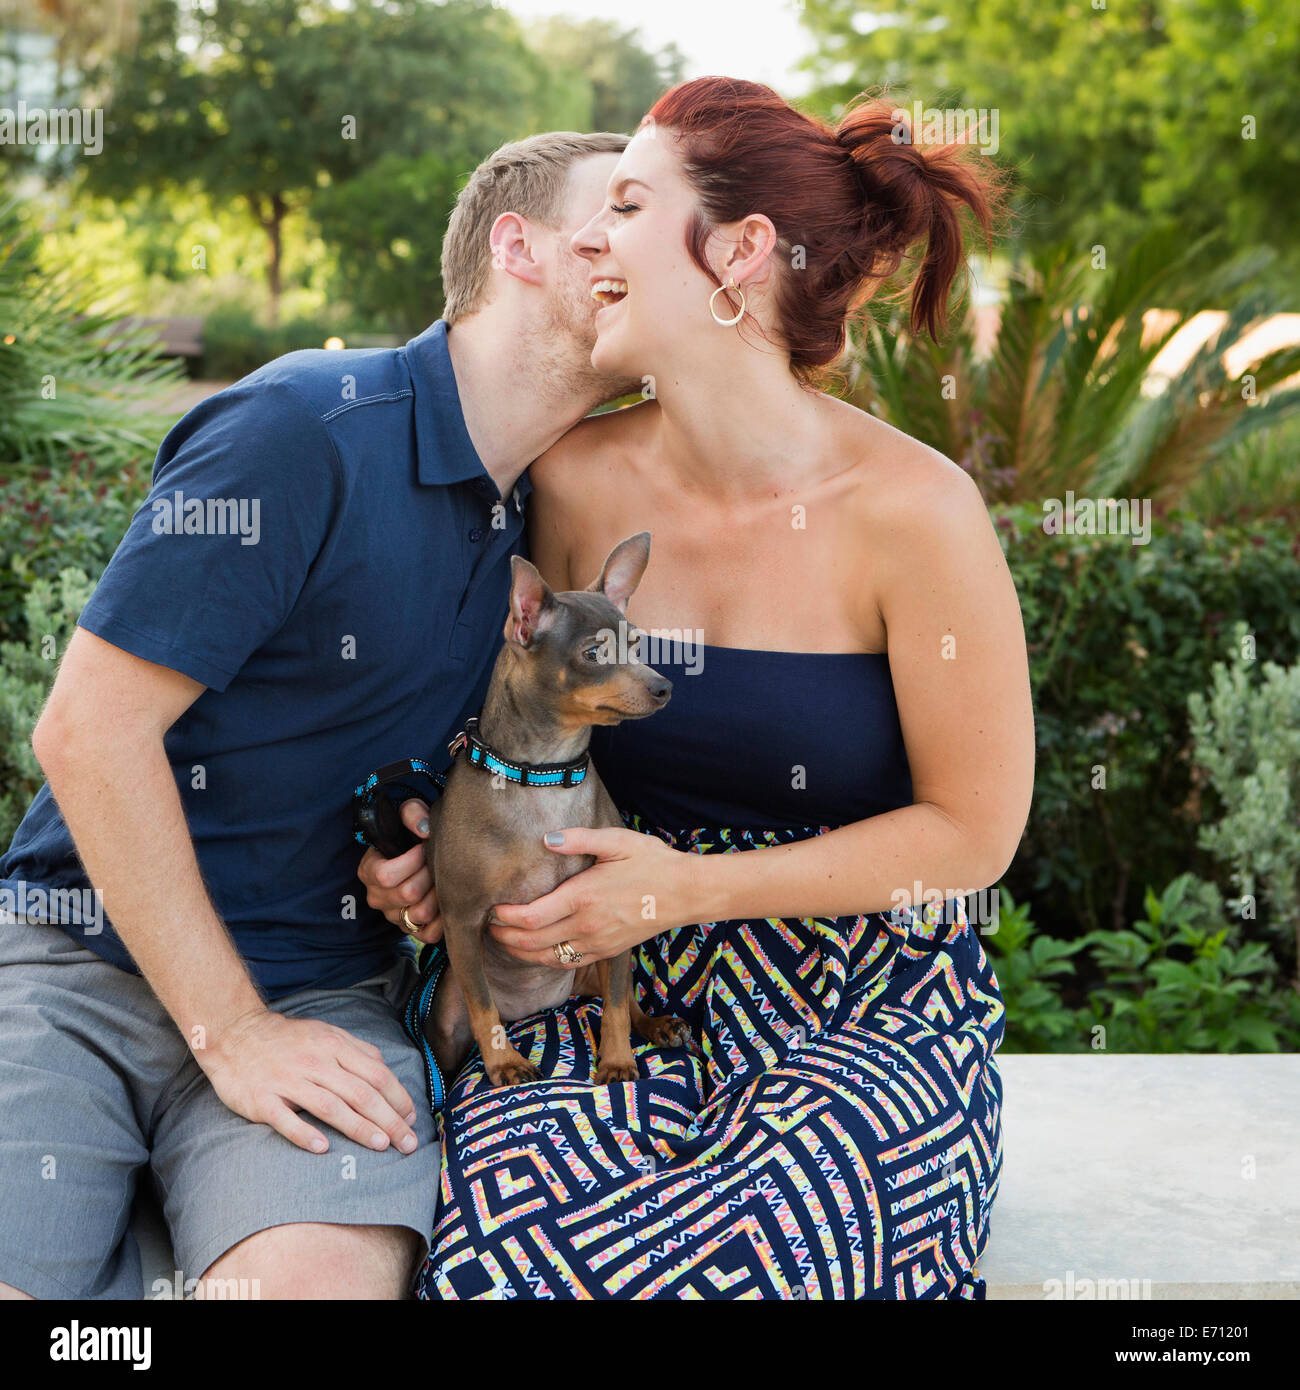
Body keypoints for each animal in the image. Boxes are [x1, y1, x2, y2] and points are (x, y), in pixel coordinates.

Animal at [425, 530, 692, 1084]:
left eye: (638, 646)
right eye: (593, 654)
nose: (663, 686)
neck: (544, 777)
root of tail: (538, 1007)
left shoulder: (613, 914)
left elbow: (617, 1006)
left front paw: (616, 1060)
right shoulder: (461, 920)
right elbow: (482, 1007)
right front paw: (505, 1063)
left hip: (595, 961)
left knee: (620, 995)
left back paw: (657, 1025)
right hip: (445, 1015)